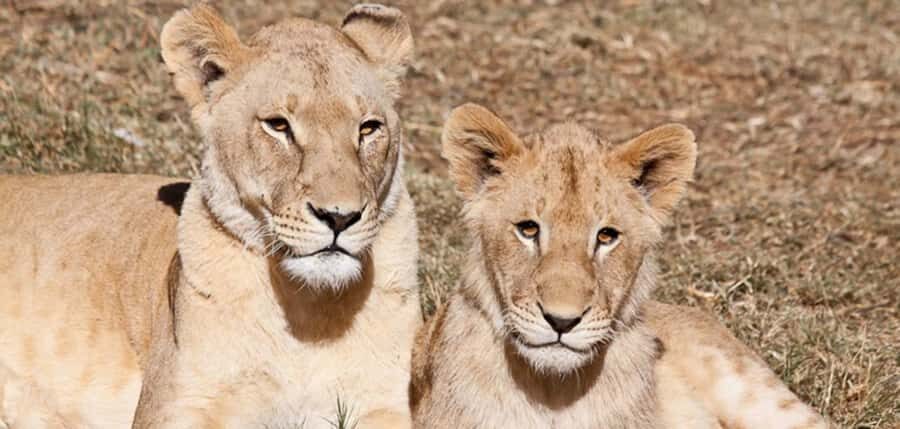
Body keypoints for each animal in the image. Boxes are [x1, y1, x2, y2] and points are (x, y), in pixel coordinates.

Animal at [0, 4, 418, 428]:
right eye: (278, 125)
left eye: (368, 128)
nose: (339, 217)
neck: (309, 312)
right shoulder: (175, 405)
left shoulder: (387, 402)